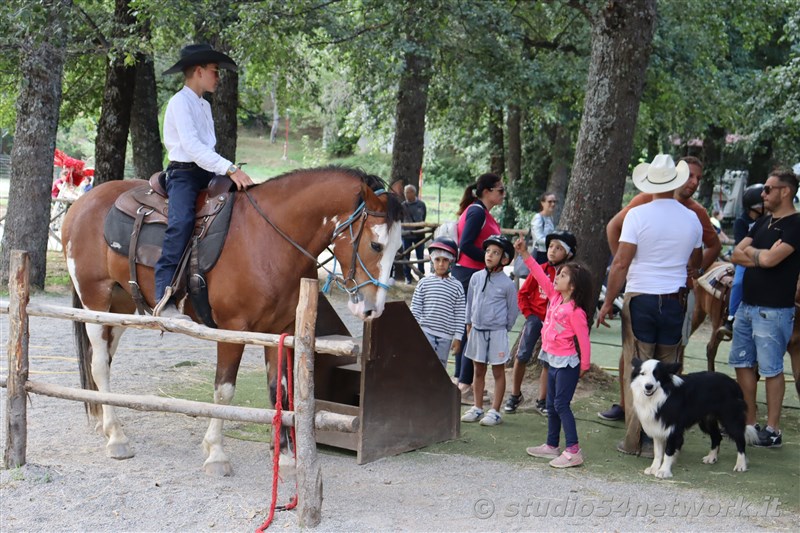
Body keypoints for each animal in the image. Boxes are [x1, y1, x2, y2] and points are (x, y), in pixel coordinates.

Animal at [59, 166, 404, 474]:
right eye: (375, 244)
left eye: (399, 247)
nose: (372, 310)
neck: (267, 239)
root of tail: (82, 203)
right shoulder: (232, 330)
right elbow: (224, 390)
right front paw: (216, 454)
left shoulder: (279, 333)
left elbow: (279, 392)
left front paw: (286, 458)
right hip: (95, 300)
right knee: (100, 364)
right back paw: (117, 438)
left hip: (120, 306)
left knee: (102, 359)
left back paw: (105, 424)